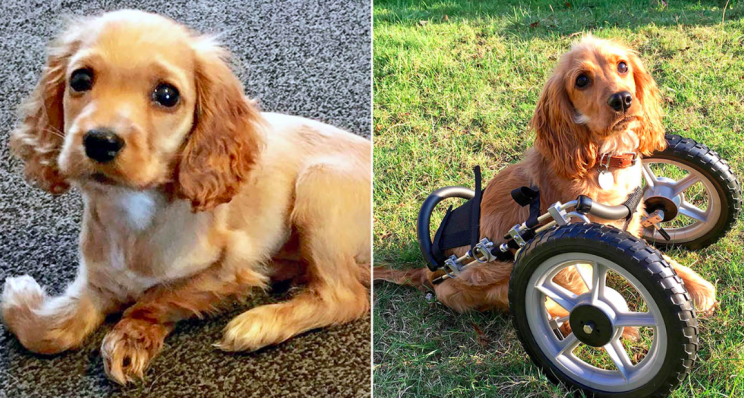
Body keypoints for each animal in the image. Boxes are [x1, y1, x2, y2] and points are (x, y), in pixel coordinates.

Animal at [0, 8, 372, 382]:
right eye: (79, 80)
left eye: (167, 95)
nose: (100, 141)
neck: (133, 210)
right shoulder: (98, 271)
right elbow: (48, 334)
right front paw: (26, 302)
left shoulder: (235, 265)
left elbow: (160, 296)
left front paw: (130, 335)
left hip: (319, 186)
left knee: (346, 297)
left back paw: (262, 322)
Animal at [378, 37, 716, 322]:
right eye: (582, 80)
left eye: (622, 66)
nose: (622, 100)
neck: (605, 161)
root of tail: (431, 271)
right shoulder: (570, 238)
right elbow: (580, 287)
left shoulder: (627, 224)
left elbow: (656, 253)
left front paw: (694, 284)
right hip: (485, 273)